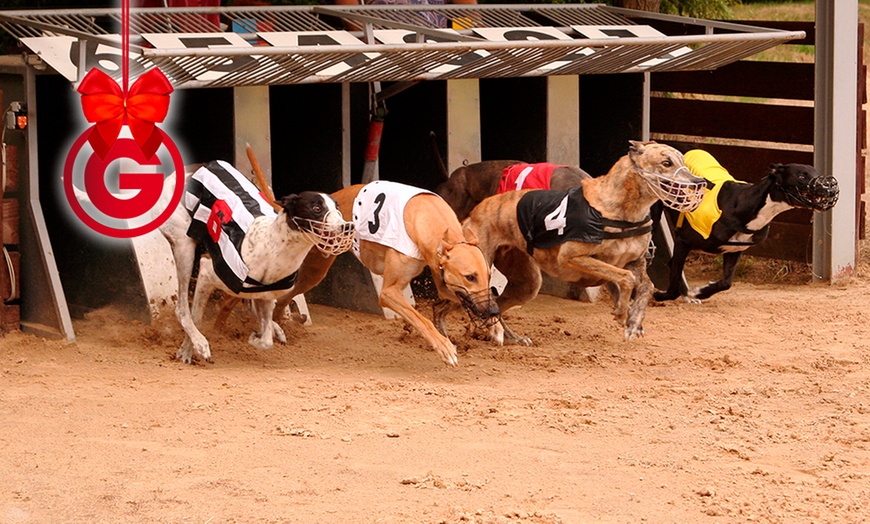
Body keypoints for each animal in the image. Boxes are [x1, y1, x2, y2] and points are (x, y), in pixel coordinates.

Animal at [160, 161, 354, 364]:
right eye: (316, 208)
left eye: (337, 207)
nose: (347, 227)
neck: (273, 247)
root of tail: (196, 166)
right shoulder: (207, 270)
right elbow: (195, 317)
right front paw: (192, 347)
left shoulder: (266, 296)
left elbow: (266, 339)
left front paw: (256, 337)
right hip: (184, 245)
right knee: (181, 307)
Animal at [332, 179, 500, 364]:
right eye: (470, 277)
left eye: (489, 276)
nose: (493, 311)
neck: (424, 216)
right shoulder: (388, 292)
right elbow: (421, 319)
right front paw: (445, 347)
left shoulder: (442, 279)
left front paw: (496, 326)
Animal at [440, 141, 712, 344]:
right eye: (666, 163)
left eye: (683, 161)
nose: (699, 183)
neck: (621, 210)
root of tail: (472, 215)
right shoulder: (575, 258)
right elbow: (626, 279)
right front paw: (623, 312)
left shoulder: (631, 261)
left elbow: (645, 285)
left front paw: (634, 322)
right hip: (478, 274)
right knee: (449, 303)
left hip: (525, 280)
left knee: (493, 304)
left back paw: (506, 336)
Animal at [656, 148, 840, 302]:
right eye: (801, 176)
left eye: (816, 172)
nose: (830, 186)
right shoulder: (684, 241)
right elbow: (674, 278)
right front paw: (662, 296)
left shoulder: (733, 250)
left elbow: (726, 282)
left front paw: (700, 292)